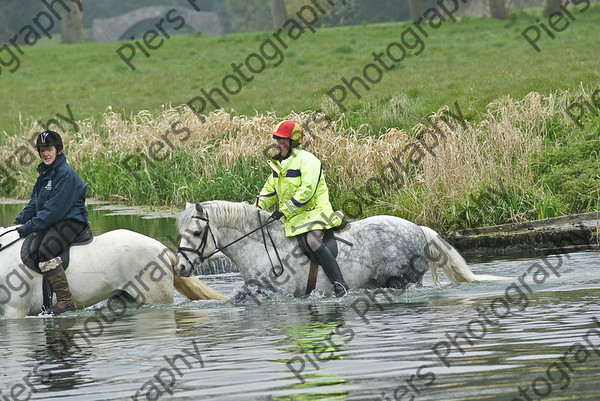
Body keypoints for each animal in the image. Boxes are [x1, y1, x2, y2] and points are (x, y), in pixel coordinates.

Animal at [176, 200, 504, 296]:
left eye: (196, 232)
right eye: (180, 232)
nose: (179, 267)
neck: (258, 246)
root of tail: (418, 228)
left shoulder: (276, 294)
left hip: (397, 280)